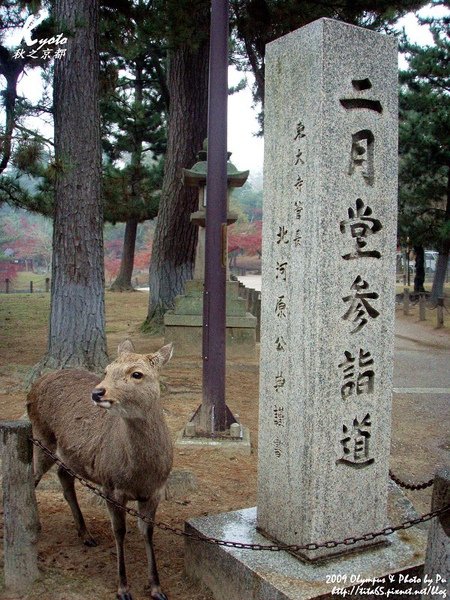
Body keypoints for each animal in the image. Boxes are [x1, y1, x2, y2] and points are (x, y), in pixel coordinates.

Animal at [26, 342, 174, 600]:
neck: (140, 473)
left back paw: (85, 534)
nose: (97, 392)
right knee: (33, 476)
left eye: (137, 373)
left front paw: (157, 589)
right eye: (107, 370)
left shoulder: (155, 491)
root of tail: (34, 386)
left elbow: (147, 532)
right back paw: (34, 527)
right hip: (41, 436)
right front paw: (123, 588)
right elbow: (119, 531)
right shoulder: (110, 485)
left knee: (64, 477)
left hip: (69, 454)